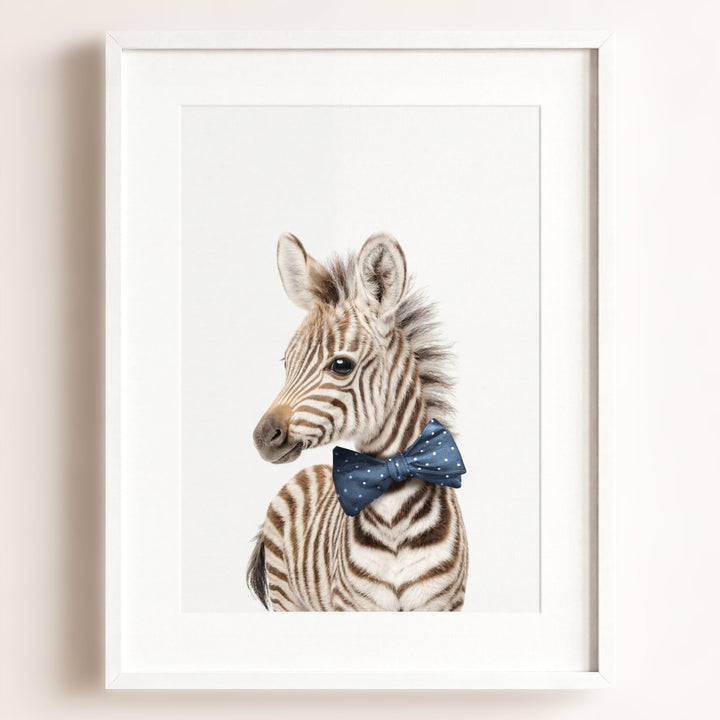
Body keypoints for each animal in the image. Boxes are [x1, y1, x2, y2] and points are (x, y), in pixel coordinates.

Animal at [247, 231, 469, 611]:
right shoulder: (354, 605)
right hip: (286, 596)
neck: (394, 515)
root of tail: (308, 471)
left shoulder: (443, 604)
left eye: (341, 365)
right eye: (286, 362)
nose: (263, 436)